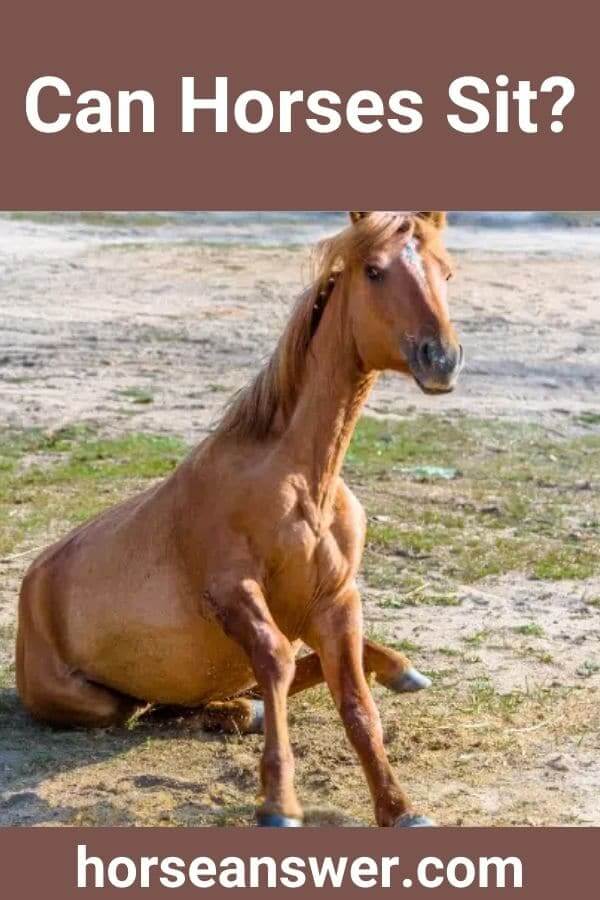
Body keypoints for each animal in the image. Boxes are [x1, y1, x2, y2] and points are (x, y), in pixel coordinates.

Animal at [16, 211, 463, 827]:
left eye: (448, 271)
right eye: (374, 270)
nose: (440, 359)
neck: (301, 483)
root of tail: (33, 583)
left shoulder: (336, 601)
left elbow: (355, 702)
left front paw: (399, 808)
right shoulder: (231, 591)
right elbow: (275, 658)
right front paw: (279, 804)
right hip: (99, 702)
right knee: (159, 705)